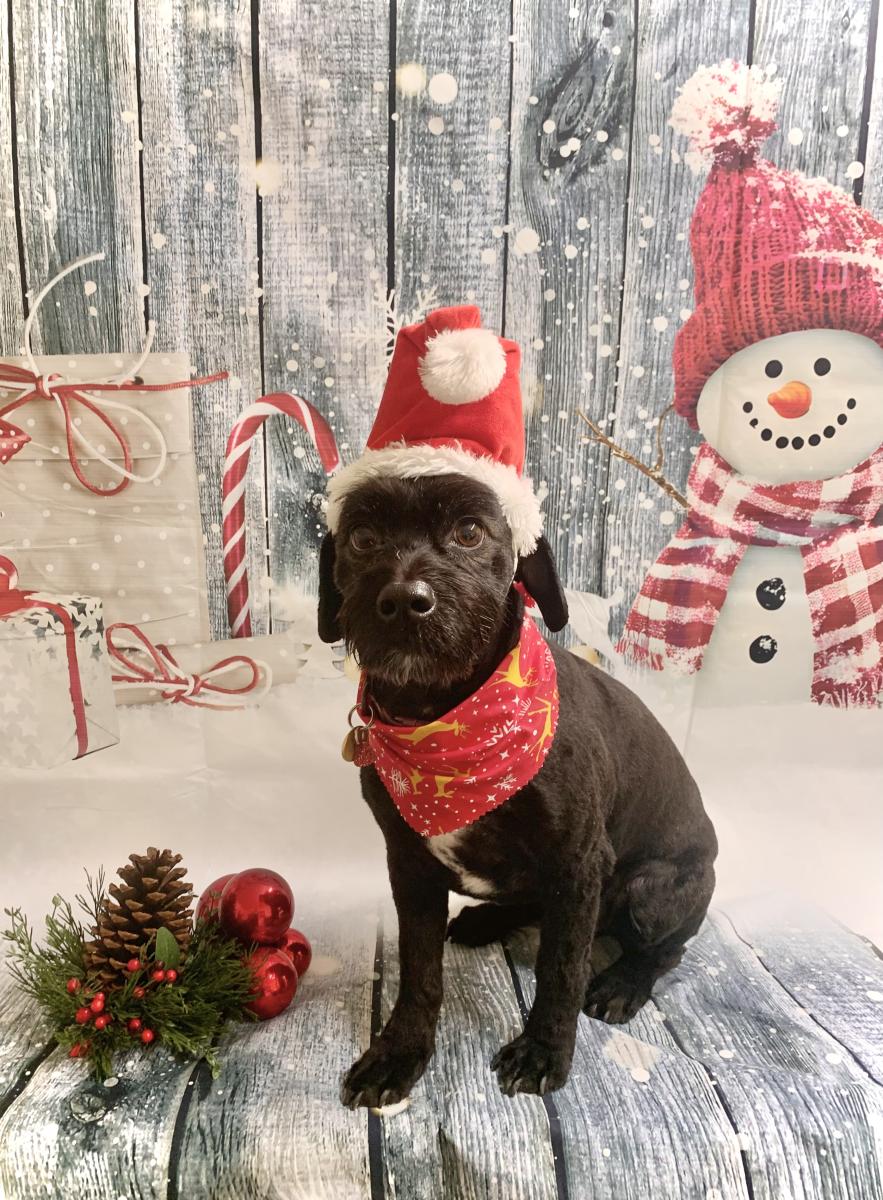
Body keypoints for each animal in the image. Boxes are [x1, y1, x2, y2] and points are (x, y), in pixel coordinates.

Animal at [318, 471, 717, 1106]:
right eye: (360, 537)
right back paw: (487, 921)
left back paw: (624, 983)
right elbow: (419, 969)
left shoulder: (579, 863)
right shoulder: (408, 863)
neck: (442, 716)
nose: (405, 600)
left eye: (470, 531)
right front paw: (399, 1053)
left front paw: (544, 1050)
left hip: (652, 888)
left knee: (665, 948)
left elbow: (561, 969)